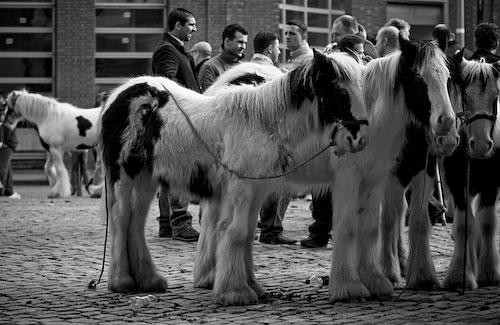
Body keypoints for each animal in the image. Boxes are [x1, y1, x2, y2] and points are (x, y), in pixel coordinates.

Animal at [99, 50, 370, 304]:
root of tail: (118, 96)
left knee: (135, 221)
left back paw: (148, 280)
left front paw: (251, 286)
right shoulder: (240, 189)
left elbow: (248, 233)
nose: (358, 140)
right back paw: (121, 281)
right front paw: (234, 292)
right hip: (124, 177)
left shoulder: (256, 190)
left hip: (146, 179)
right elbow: (236, 231)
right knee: (121, 218)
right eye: (340, 91)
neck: (262, 124)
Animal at [330, 36, 458, 300]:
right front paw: (387, 270)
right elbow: (387, 219)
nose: (447, 127)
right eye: (419, 79)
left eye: (448, 77)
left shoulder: (424, 170)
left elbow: (418, 219)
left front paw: (422, 275)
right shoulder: (387, 175)